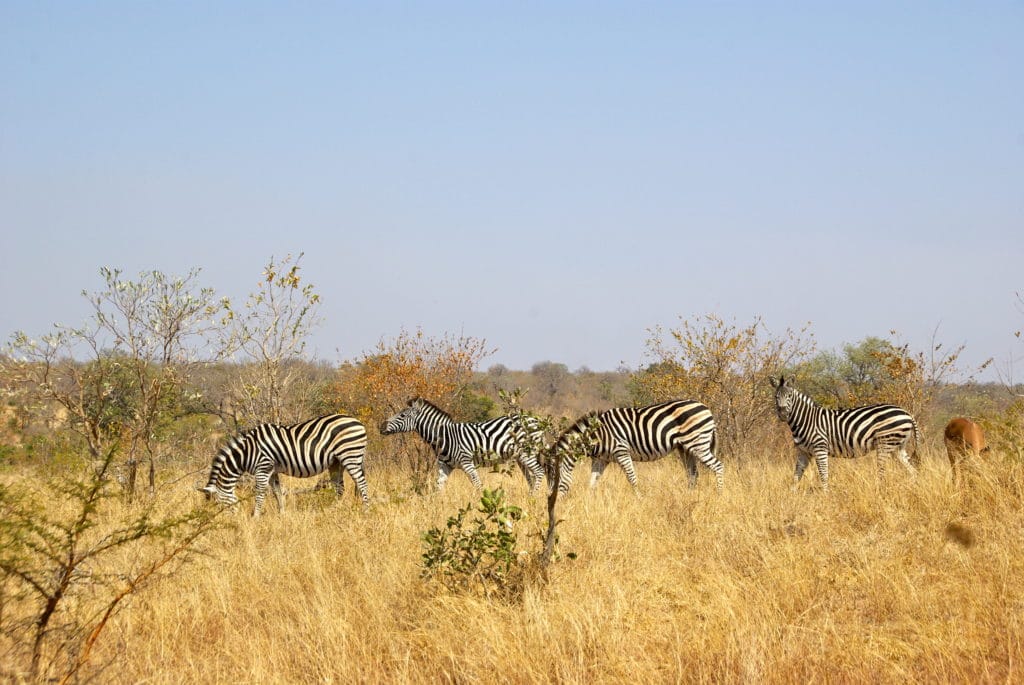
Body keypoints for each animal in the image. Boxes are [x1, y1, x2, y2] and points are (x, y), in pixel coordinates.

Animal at [197, 411, 370, 511]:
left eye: (217, 504)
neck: (247, 452)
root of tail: (359, 422)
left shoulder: (263, 467)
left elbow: (260, 493)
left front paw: (255, 517)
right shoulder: (272, 471)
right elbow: (277, 493)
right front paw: (282, 514)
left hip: (350, 456)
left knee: (361, 484)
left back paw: (366, 509)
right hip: (336, 462)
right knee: (340, 488)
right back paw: (334, 510)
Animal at [380, 395, 548, 491]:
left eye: (402, 416)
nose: (381, 426)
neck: (444, 437)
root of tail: (536, 420)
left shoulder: (467, 463)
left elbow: (478, 486)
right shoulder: (445, 466)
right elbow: (438, 488)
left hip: (527, 453)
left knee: (539, 472)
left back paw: (533, 498)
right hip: (521, 457)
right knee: (532, 477)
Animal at [548, 397, 724, 493]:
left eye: (553, 478)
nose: (551, 499)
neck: (598, 435)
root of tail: (706, 408)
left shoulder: (621, 451)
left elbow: (632, 478)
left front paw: (639, 499)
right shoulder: (601, 459)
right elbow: (592, 482)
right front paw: (589, 502)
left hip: (698, 444)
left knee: (718, 466)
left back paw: (720, 494)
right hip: (685, 448)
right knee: (693, 474)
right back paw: (689, 496)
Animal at [770, 374, 921, 491]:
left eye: (789, 396)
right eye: (776, 397)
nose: (783, 414)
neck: (806, 419)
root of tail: (907, 413)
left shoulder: (820, 448)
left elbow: (823, 474)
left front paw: (825, 496)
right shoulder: (803, 452)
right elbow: (796, 475)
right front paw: (792, 495)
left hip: (885, 443)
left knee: (882, 472)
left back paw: (880, 492)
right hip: (898, 447)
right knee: (913, 471)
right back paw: (911, 489)